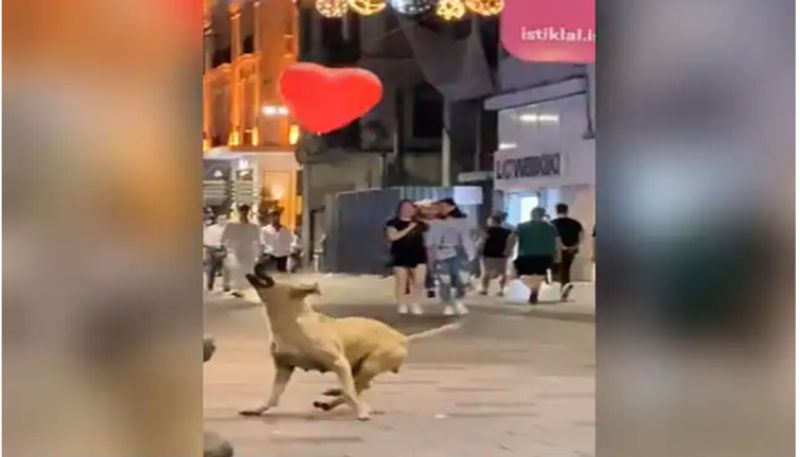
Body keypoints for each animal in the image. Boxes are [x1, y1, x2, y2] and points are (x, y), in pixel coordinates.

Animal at [239, 270, 462, 420]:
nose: (262, 261)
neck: (291, 321)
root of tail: (401, 337)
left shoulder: (339, 362)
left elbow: (349, 391)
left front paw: (361, 410)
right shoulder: (284, 368)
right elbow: (273, 395)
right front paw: (258, 409)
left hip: (369, 364)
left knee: (355, 386)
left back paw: (339, 399)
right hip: (360, 366)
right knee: (358, 386)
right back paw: (331, 399)